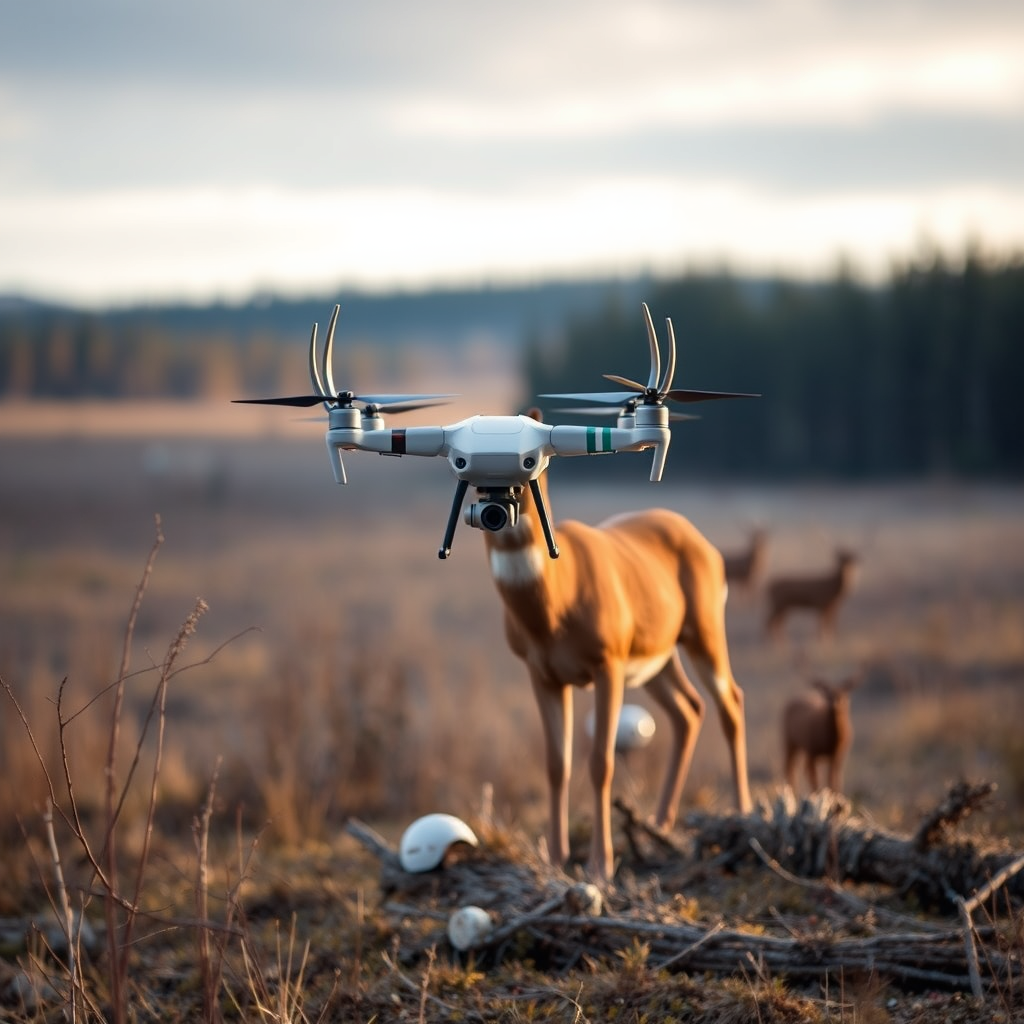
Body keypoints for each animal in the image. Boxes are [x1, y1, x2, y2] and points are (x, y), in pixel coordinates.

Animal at [482, 414, 751, 882]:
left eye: (535, 463)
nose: (499, 516)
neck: (555, 608)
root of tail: (705, 544)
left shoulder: (607, 662)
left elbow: (600, 762)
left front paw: (599, 865)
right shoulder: (542, 672)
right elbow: (557, 764)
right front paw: (556, 858)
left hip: (702, 631)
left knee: (730, 701)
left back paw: (743, 816)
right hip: (655, 658)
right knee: (689, 709)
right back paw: (660, 825)